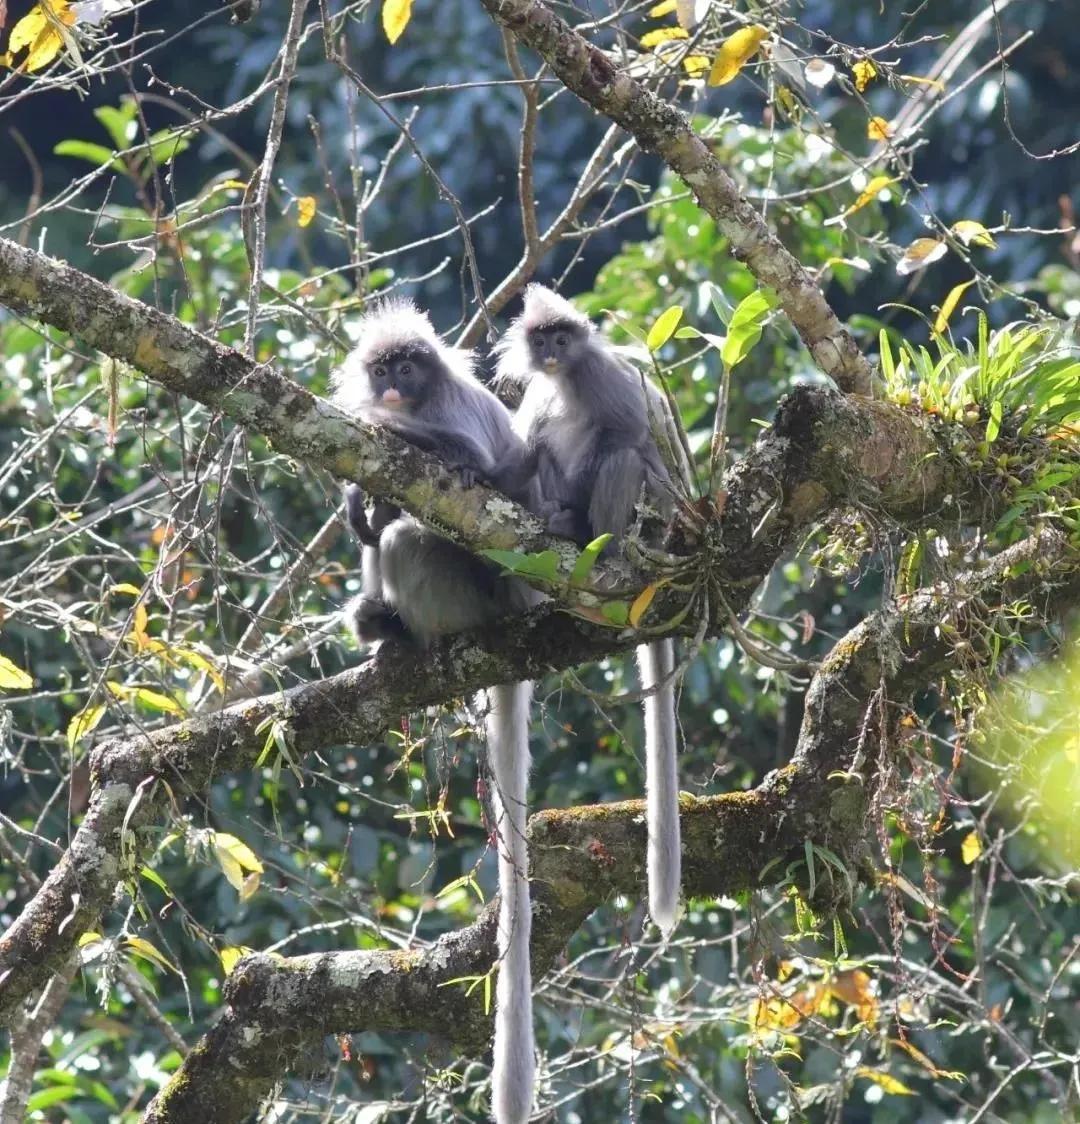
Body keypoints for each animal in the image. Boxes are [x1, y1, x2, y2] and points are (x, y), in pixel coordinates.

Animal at [492, 285, 687, 935]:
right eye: (541, 338)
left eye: (562, 336)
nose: (551, 351)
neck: (566, 377)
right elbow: (531, 444)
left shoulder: (601, 374)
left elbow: (625, 430)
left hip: (651, 515)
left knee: (625, 457)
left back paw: (586, 534)